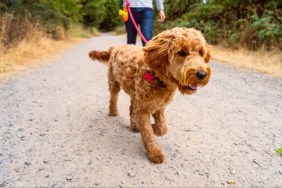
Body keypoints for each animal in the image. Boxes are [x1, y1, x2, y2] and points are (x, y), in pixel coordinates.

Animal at [89, 26, 210, 163]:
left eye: (201, 52)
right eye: (182, 52)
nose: (202, 74)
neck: (157, 76)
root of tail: (115, 48)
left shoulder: (159, 107)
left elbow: (163, 129)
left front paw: (154, 127)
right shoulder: (143, 109)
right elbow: (148, 133)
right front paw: (154, 152)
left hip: (135, 93)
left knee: (131, 108)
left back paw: (134, 125)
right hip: (114, 82)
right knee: (113, 98)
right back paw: (113, 112)